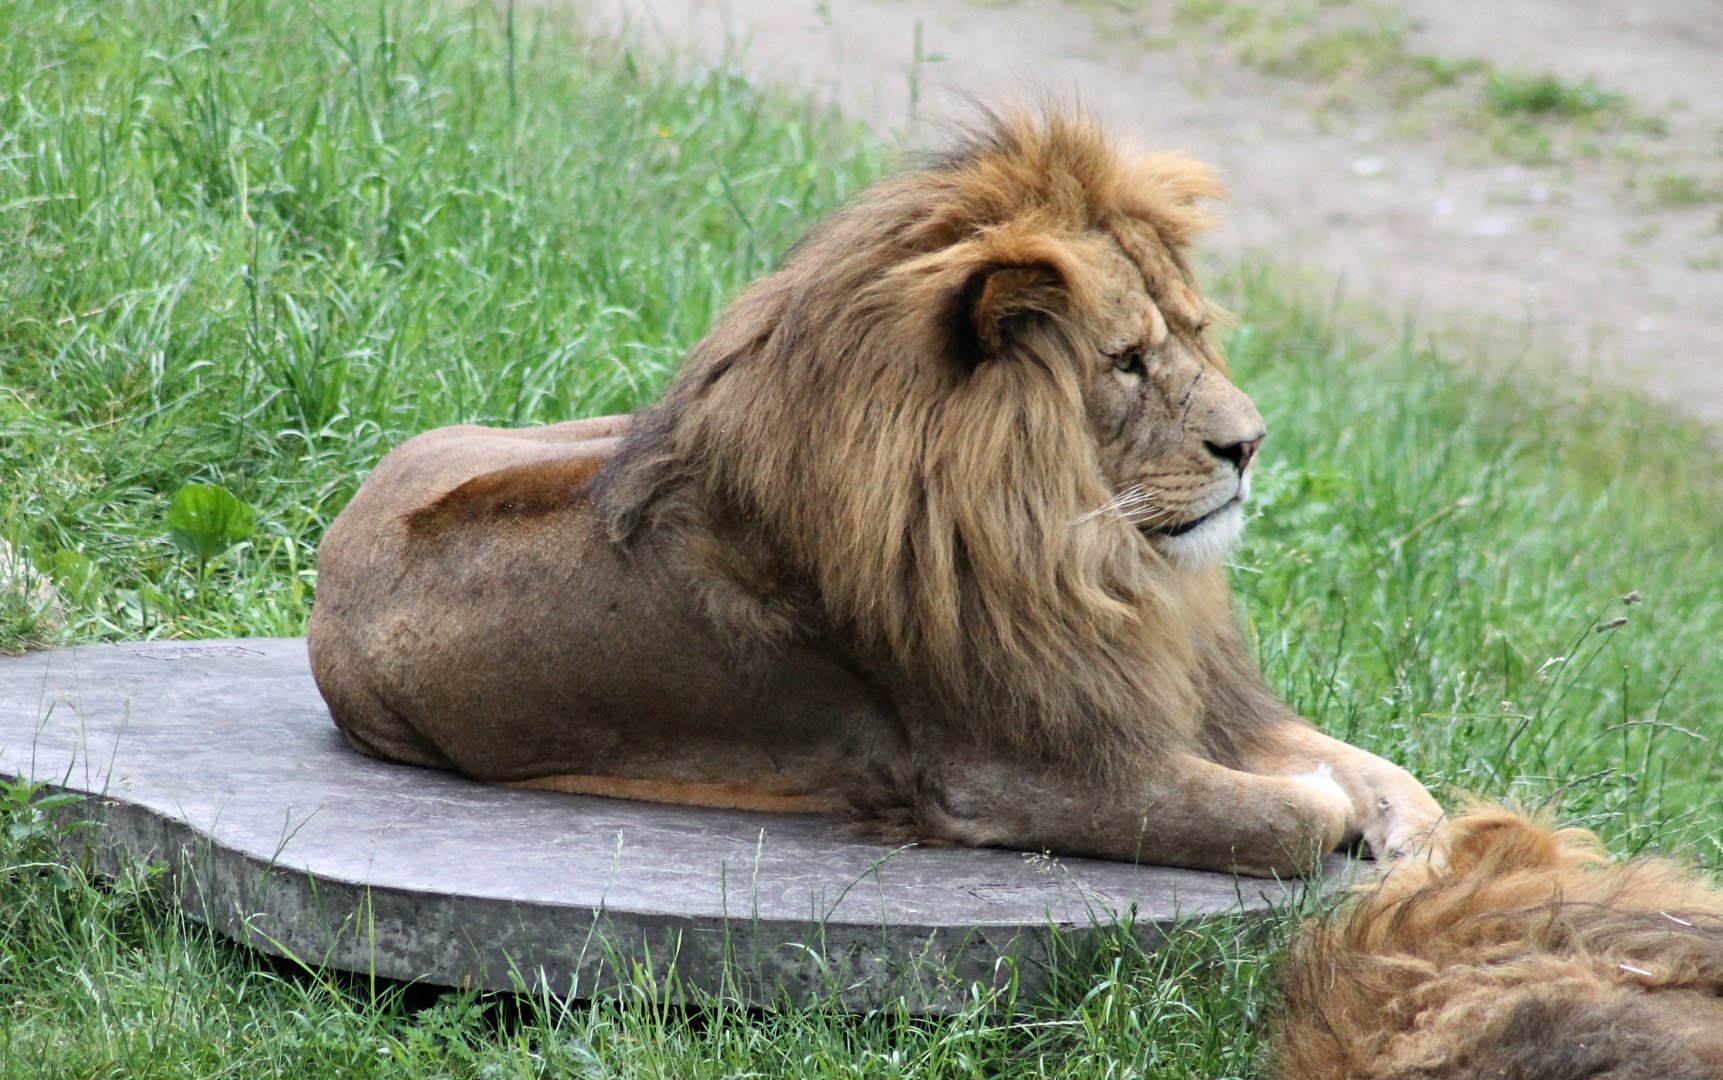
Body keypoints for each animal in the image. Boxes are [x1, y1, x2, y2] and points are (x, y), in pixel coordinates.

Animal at [307, 110, 1441, 877]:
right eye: (1124, 360)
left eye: (1198, 336)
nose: (1248, 445)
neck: (1081, 555)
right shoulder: (1019, 778)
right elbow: (1290, 816)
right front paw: (1329, 811)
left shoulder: (1174, 691)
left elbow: (1381, 770)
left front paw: (1422, 844)